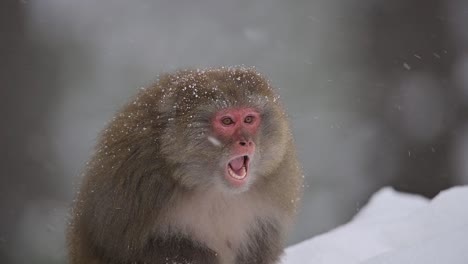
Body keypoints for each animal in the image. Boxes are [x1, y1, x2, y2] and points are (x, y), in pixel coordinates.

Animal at [66, 66, 304, 264]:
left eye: (248, 119)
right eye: (227, 121)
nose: (246, 141)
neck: (214, 189)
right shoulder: (135, 183)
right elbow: (132, 250)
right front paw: (198, 255)